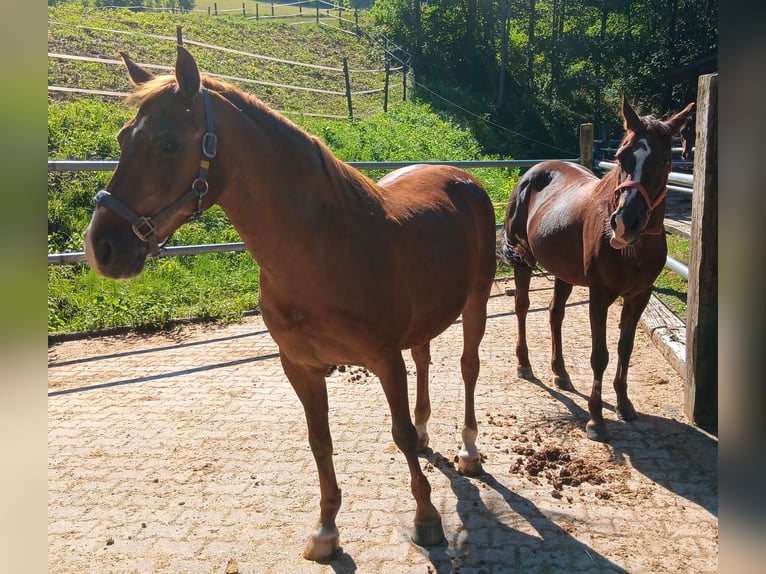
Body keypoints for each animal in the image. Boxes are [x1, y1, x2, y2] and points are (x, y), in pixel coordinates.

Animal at [84, 47, 496, 564]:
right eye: (124, 138)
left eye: (168, 143)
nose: (101, 246)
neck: (323, 248)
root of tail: (463, 177)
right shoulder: (300, 366)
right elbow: (320, 441)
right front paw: (326, 530)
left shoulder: (384, 360)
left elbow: (397, 433)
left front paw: (426, 517)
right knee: (424, 359)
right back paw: (427, 434)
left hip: (476, 302)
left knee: (467, 367)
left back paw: (469, 451)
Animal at [500, 97, 700, 444]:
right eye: (621, 157)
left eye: (665, 161)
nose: (625, 223)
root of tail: (533, 173)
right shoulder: (600, 296)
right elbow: (600, 356)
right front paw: (596, 419)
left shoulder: (639, 296)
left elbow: (624, 349)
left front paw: (624, 404)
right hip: (523, 262)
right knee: (523, 307)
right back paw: (524, 364)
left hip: (563, 272)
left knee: (555, 313)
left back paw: (561, 372)